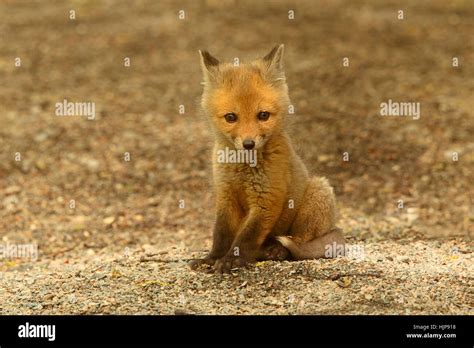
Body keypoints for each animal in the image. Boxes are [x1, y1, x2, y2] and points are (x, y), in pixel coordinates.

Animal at [190, 43, 344, 274]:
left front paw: (232, 260)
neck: (244, 169)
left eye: (263, 115)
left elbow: (247, 237)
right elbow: (221, 234)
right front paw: (213, 258)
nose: (249, 144)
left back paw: (277, 251)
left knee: (297, 244)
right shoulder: (226, 195)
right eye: (230, 117)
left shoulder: (267, 199)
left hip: (318, 192)